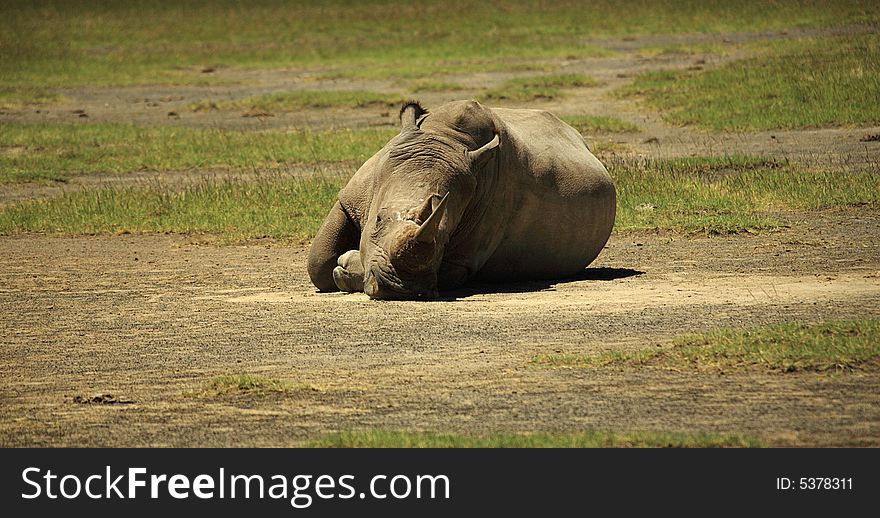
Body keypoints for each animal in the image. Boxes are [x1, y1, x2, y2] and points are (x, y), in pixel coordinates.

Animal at [310, 100, 620, 300]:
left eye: (446, 237)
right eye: (376, 221)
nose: (401, 290)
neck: (444, 137)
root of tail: (580, 140)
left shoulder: (465, 256)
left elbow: (449, 271)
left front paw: (348, 267)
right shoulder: (351, 197)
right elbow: (318, 261)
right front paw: (343, 267)